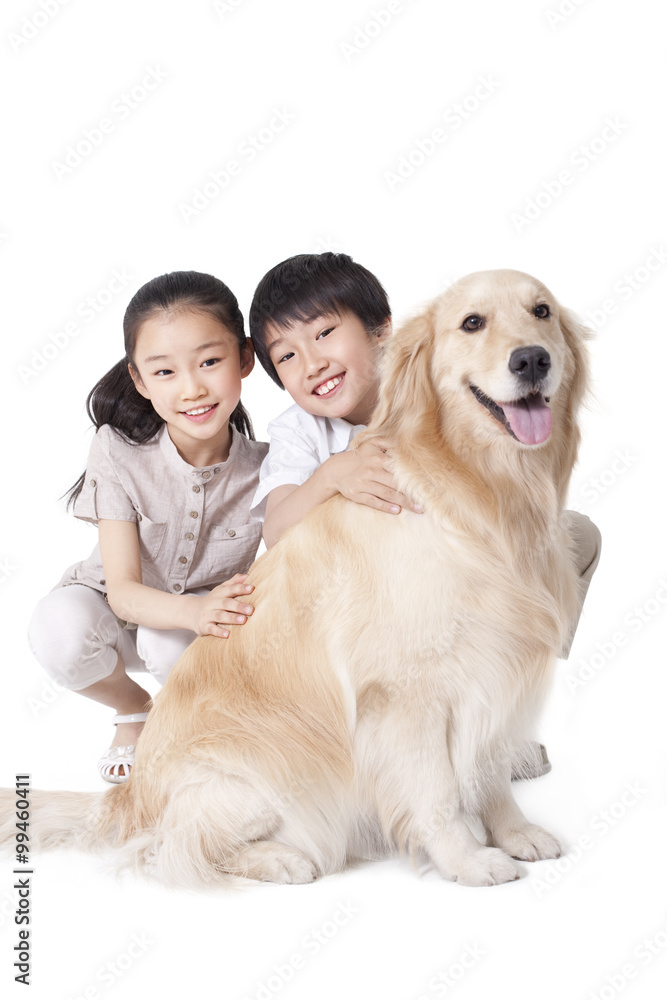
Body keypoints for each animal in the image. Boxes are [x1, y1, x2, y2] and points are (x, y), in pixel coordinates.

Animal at [3, 270, 588, 888]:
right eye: (472, 323)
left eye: (542, 311)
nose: (533, 359)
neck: (479, 495)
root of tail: (129, 796)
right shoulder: (405, 692)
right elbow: (436, 794)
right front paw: (467, 859)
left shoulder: (497, 664)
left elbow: (488, 767)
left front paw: (515, 831)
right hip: (259, 772)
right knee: (170, 849)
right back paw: (281, 859)